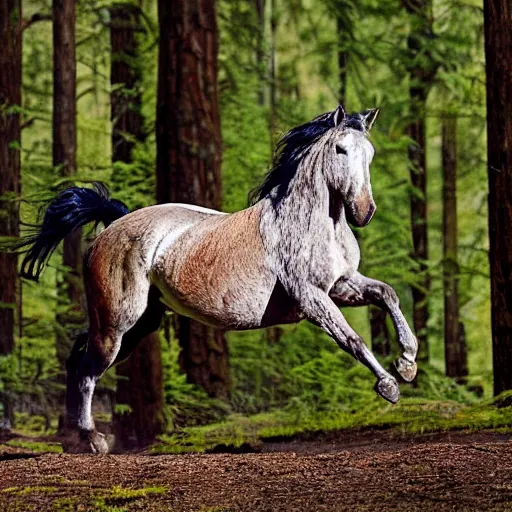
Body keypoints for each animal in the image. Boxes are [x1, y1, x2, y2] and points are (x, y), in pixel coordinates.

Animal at [18, 103, 418, 452]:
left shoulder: (342, 285)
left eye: (370, 153)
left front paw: (408, 362)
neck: (316, 224)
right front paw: (389, 385)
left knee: (78, 357)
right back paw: (95, 441)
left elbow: (387, 294)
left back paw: (75, 440)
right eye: (340, 149)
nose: (364, 211)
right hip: (117, 324)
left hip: (137, 324)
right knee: (87, 372)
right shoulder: (312, 297)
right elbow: (352, 339)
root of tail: (113, 226)